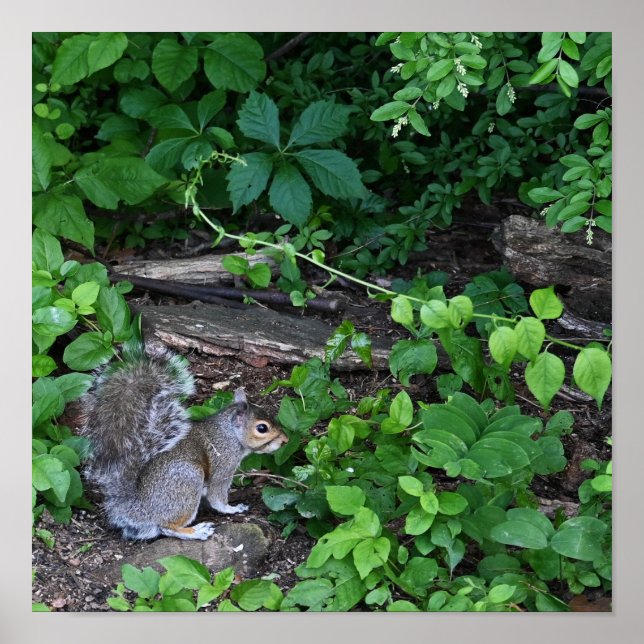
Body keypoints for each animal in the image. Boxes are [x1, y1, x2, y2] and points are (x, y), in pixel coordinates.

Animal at [78, 340, 288, 541]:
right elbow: (217, 497)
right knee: (167, 527)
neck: (229, 433)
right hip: (188, 481)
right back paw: (196, 531)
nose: (285, 440)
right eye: (262, 428)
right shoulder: (224, 465)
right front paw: (233, 509)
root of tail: (137, 509)